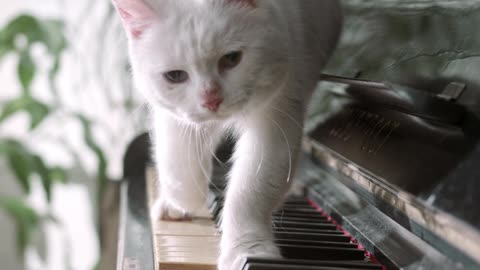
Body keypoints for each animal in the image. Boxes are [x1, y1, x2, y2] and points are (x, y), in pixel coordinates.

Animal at [112, 0, 342, 268]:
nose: (211, 100)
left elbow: (249, 193)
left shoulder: (277, 119)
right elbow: (178, 169)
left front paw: (247, 252)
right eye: (175, 76)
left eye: (232, 59)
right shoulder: (176, 119)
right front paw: (179, 206)